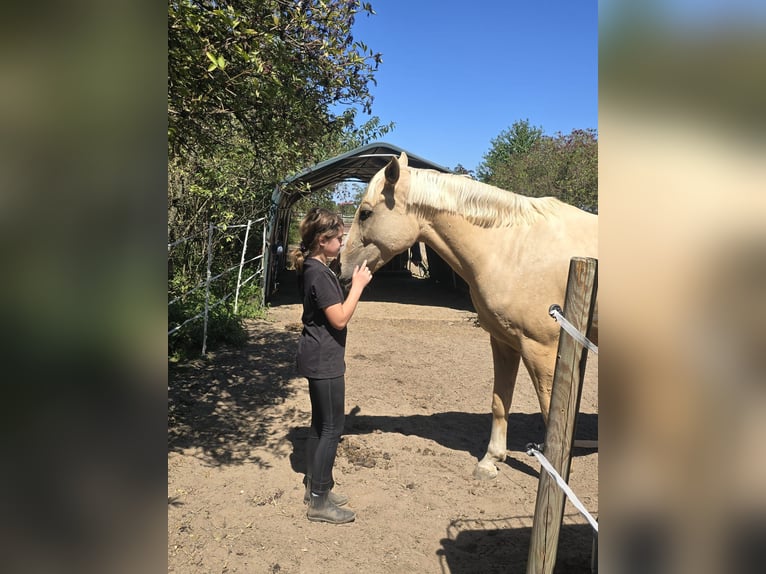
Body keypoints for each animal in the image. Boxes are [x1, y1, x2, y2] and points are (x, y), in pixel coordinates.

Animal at [337, 152, 597, 480]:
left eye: (365, 213)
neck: (511, 249)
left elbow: (552, 415)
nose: (341, 269)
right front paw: (490, 460)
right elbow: (500, 401)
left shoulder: (542, 350)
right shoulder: (504, 342)